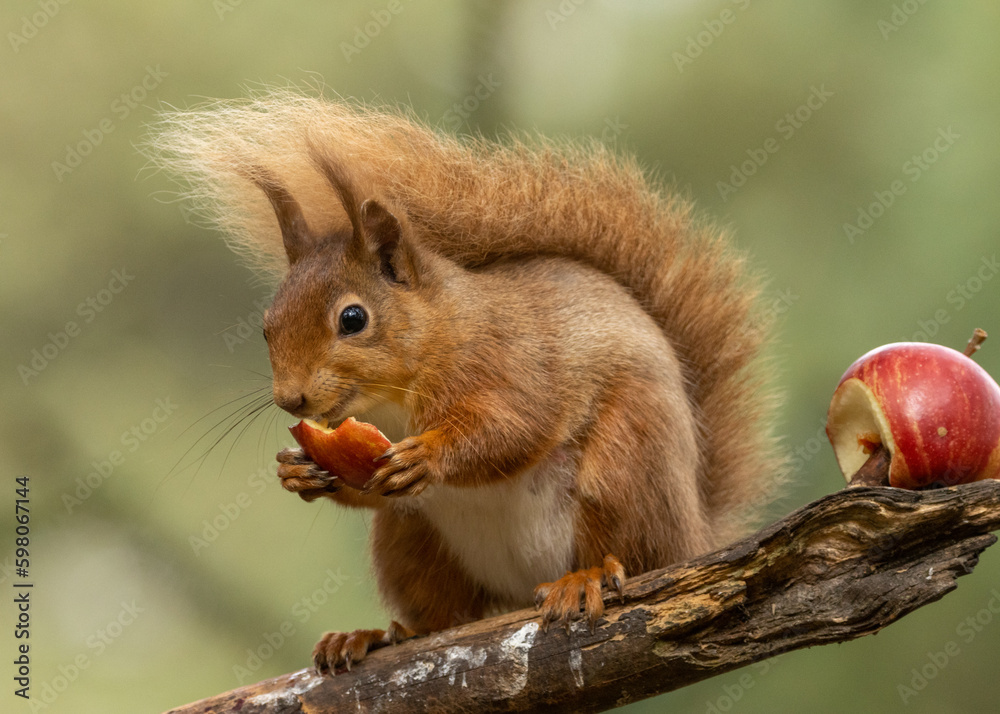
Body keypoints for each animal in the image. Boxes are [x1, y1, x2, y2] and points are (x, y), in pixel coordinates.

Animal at [148, 89, 784, 673]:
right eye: (265, 326)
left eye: (353, 319)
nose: (291, 399)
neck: (396, 392)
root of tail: (696, 532)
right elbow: (362, 486)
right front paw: (298, 471)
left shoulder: (511, 362)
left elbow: (514, 427)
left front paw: (428, 455)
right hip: (408, 538)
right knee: (444, 617)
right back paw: (371, 636)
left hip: (627, 463)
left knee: (633, 550)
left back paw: (584, 578)